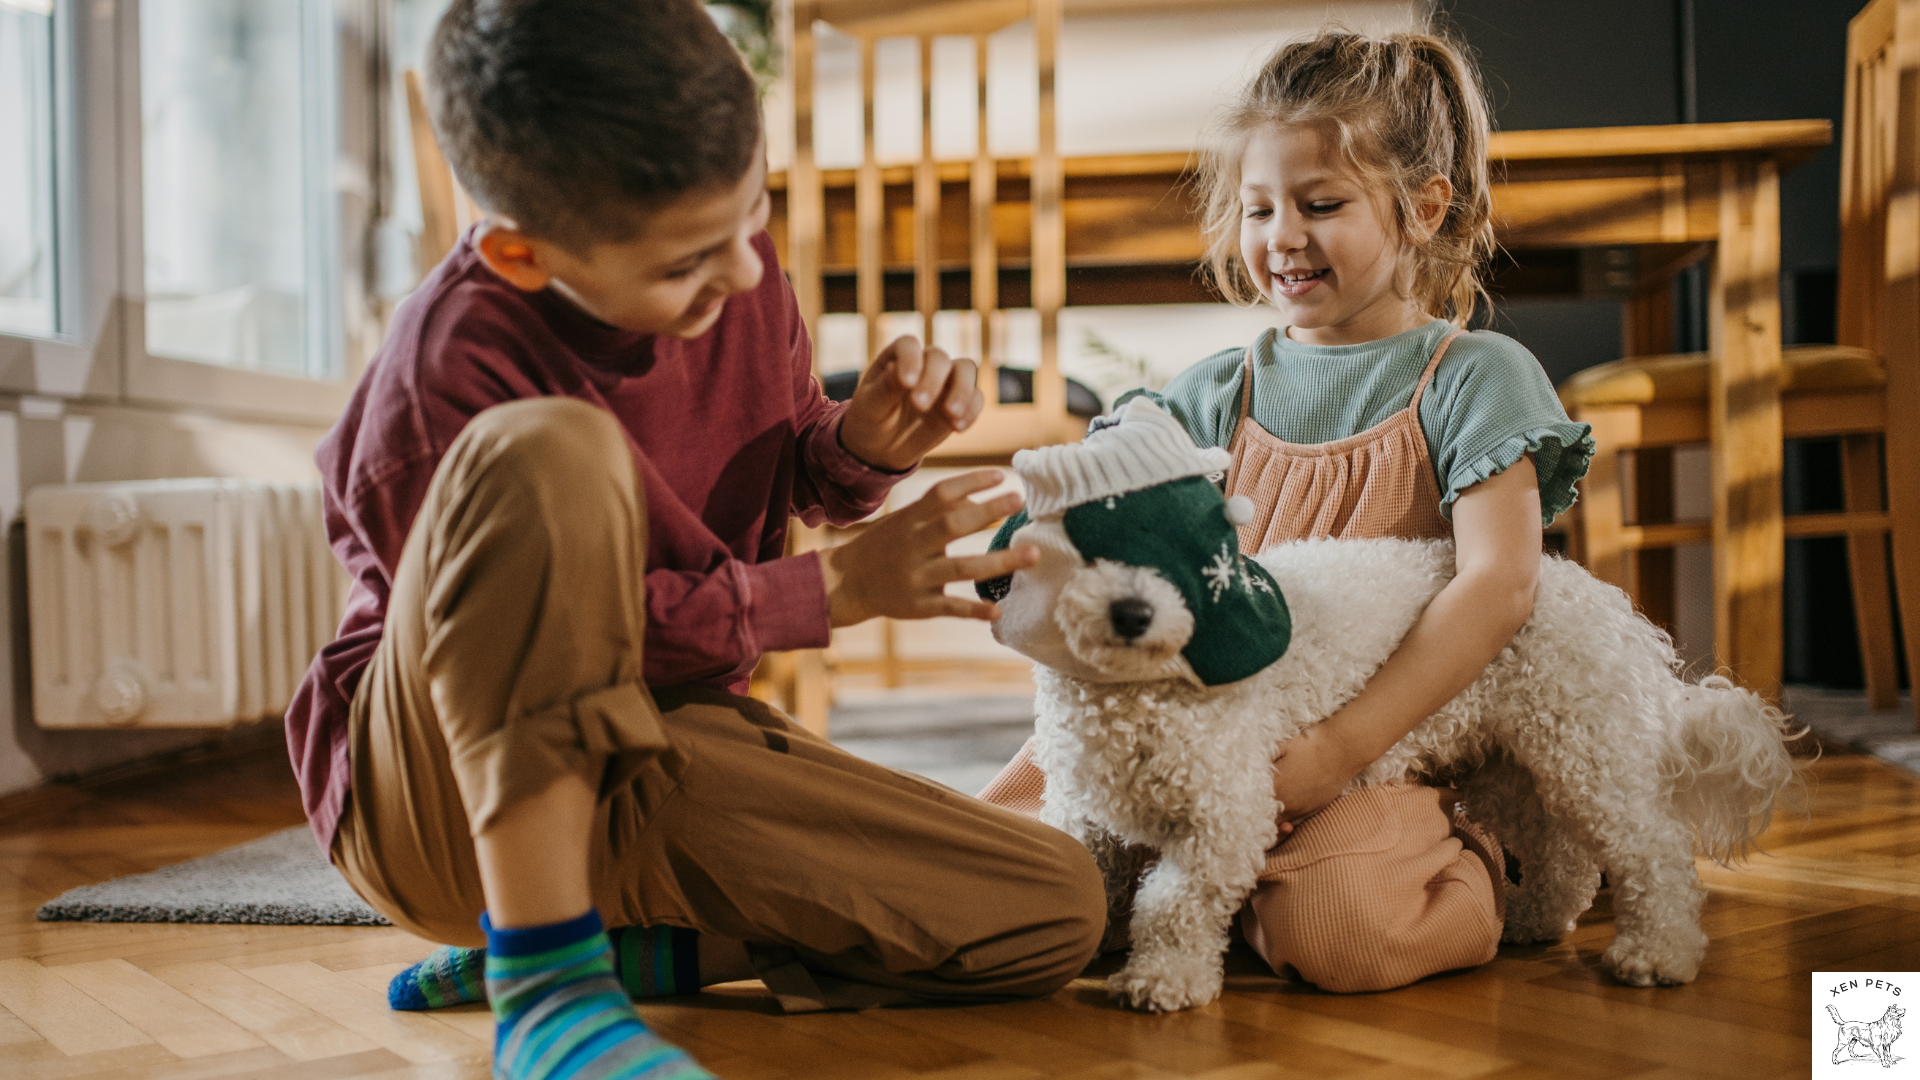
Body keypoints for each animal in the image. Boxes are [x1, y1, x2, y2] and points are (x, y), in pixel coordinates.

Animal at [983, 395, 1804, 1006]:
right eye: (1079, 548)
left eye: (1189, 554)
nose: (1133, 612)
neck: (1141, 694)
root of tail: (1601, 599)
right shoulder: (1084, 809)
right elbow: (1087, 872)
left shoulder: (1226, 814)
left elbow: (1173, 903)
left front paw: (1164, 979)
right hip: (1510, 767)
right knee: (1562, 856)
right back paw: (1533, 919)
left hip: (1586, 755)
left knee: (1653, 851)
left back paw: (1658, 953)